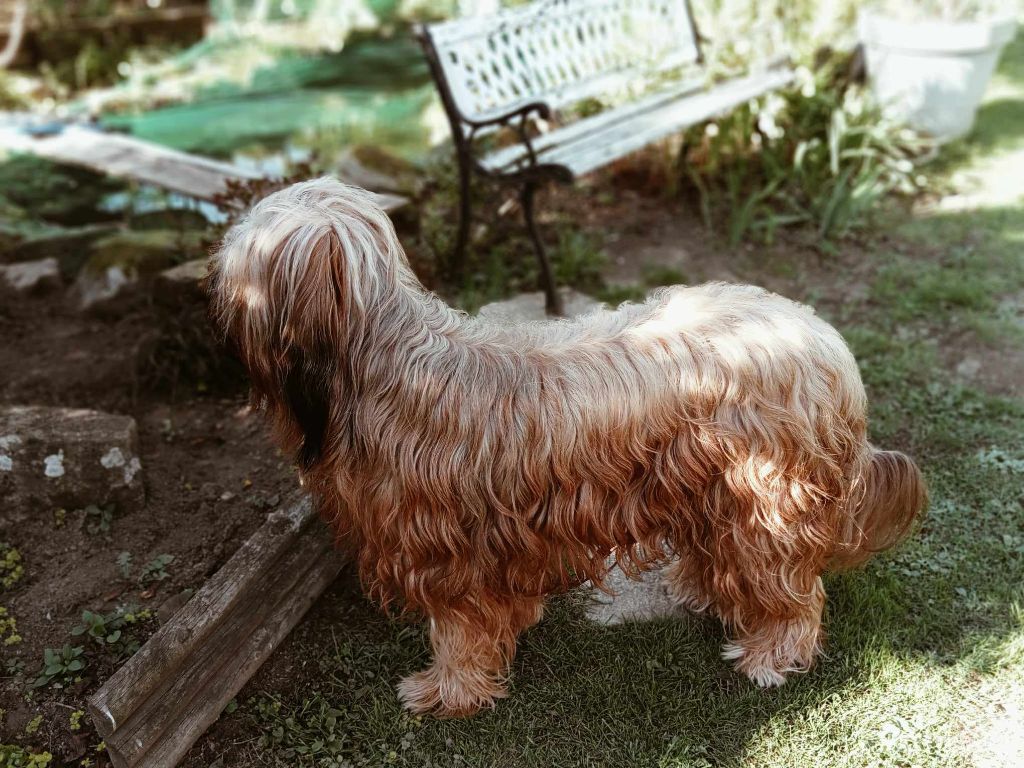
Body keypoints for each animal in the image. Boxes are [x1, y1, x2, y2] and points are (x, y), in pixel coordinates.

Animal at [209, 177, 929, 720]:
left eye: (239, 260)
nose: (210, 302)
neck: (385, 363)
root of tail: (826, 343)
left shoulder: (451, 553)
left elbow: (460, 632)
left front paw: (447, 693)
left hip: (764, 495)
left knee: (790, 588)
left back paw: (770, 655)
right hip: (707, 481)